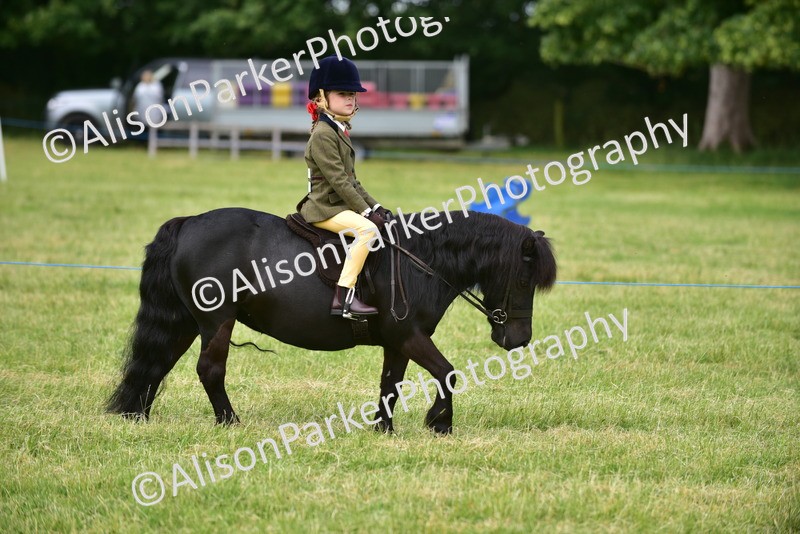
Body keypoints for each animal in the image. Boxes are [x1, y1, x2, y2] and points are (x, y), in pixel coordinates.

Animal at [106, 208, 556, 434]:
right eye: (523, 278)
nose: (519, 338)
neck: (422, 258)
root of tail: (188, 224)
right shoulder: (409, 335)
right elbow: (447, 372)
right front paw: (439, 423)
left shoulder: (398, 342)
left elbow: (390, 384)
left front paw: (383, 428)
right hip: (217, 320)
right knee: (209, 369)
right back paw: (229, 422)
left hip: (186, 321)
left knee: (157, 361)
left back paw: (136, 415)